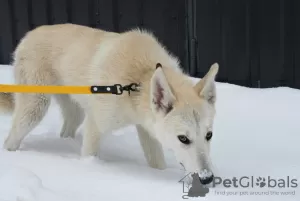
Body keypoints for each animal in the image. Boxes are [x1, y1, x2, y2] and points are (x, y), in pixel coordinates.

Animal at [0, 23, 218, 184]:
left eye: (209, 135)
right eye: (183, 139)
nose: (207, 179)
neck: (139, 79)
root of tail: (29, 34)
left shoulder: (147, 131)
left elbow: (157, 163)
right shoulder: (95, 125)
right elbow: (89, 156)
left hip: (75, 114)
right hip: (34, 110)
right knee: (10, 140)